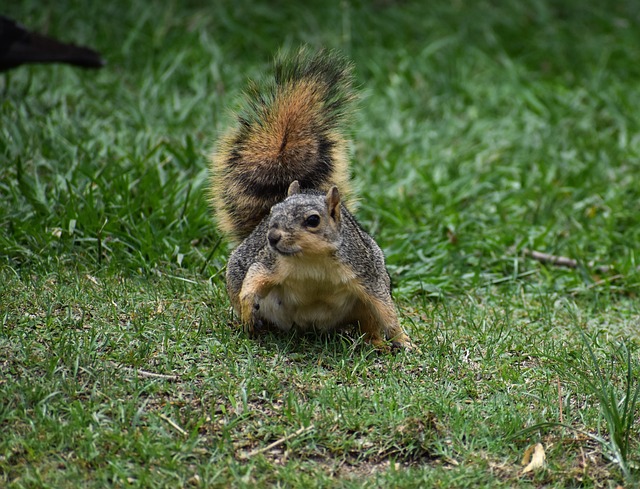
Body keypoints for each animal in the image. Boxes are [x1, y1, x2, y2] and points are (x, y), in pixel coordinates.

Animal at [208, 47, 412, 348]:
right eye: (272, 211)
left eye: (313, 220)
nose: (272, 237)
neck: (311, 261)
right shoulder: (268, 262)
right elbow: (253, 280)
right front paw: (247, 311)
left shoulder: (366, 273)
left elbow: (386, 310)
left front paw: (404, 342)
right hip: (236, 270)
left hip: (363, 301)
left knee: (369, 324)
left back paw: (377, 344)